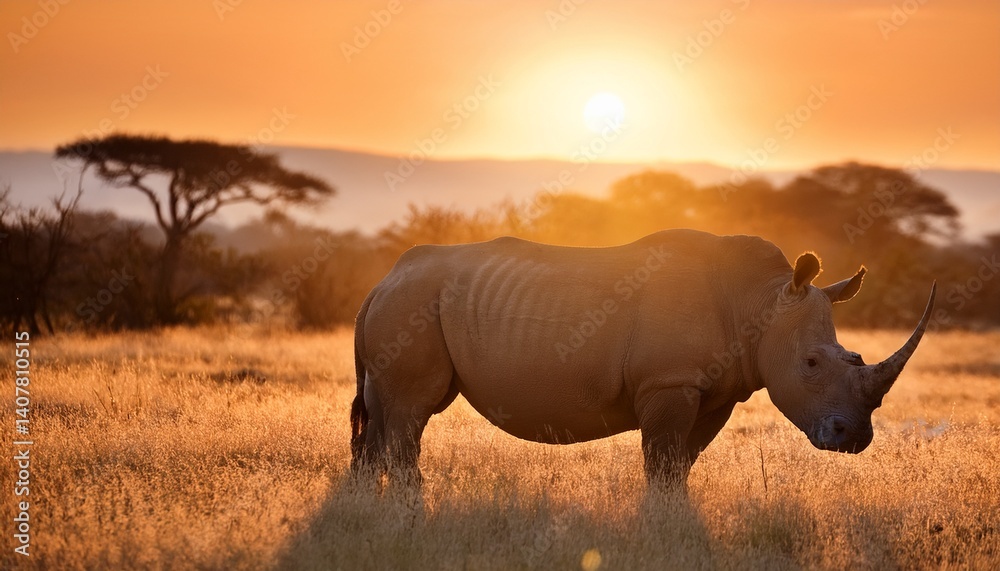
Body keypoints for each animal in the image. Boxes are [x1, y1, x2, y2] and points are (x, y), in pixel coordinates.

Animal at [350, 229, 935, 484]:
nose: (853, 438)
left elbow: (681, 465)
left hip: (408, 305)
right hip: (411, 306)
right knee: (410, 414)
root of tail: (380, 283)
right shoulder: (667, 381)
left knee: (383, 419)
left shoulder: (714, 389)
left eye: (854, 358)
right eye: (812, 364)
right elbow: (661, 461)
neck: (761, 299)